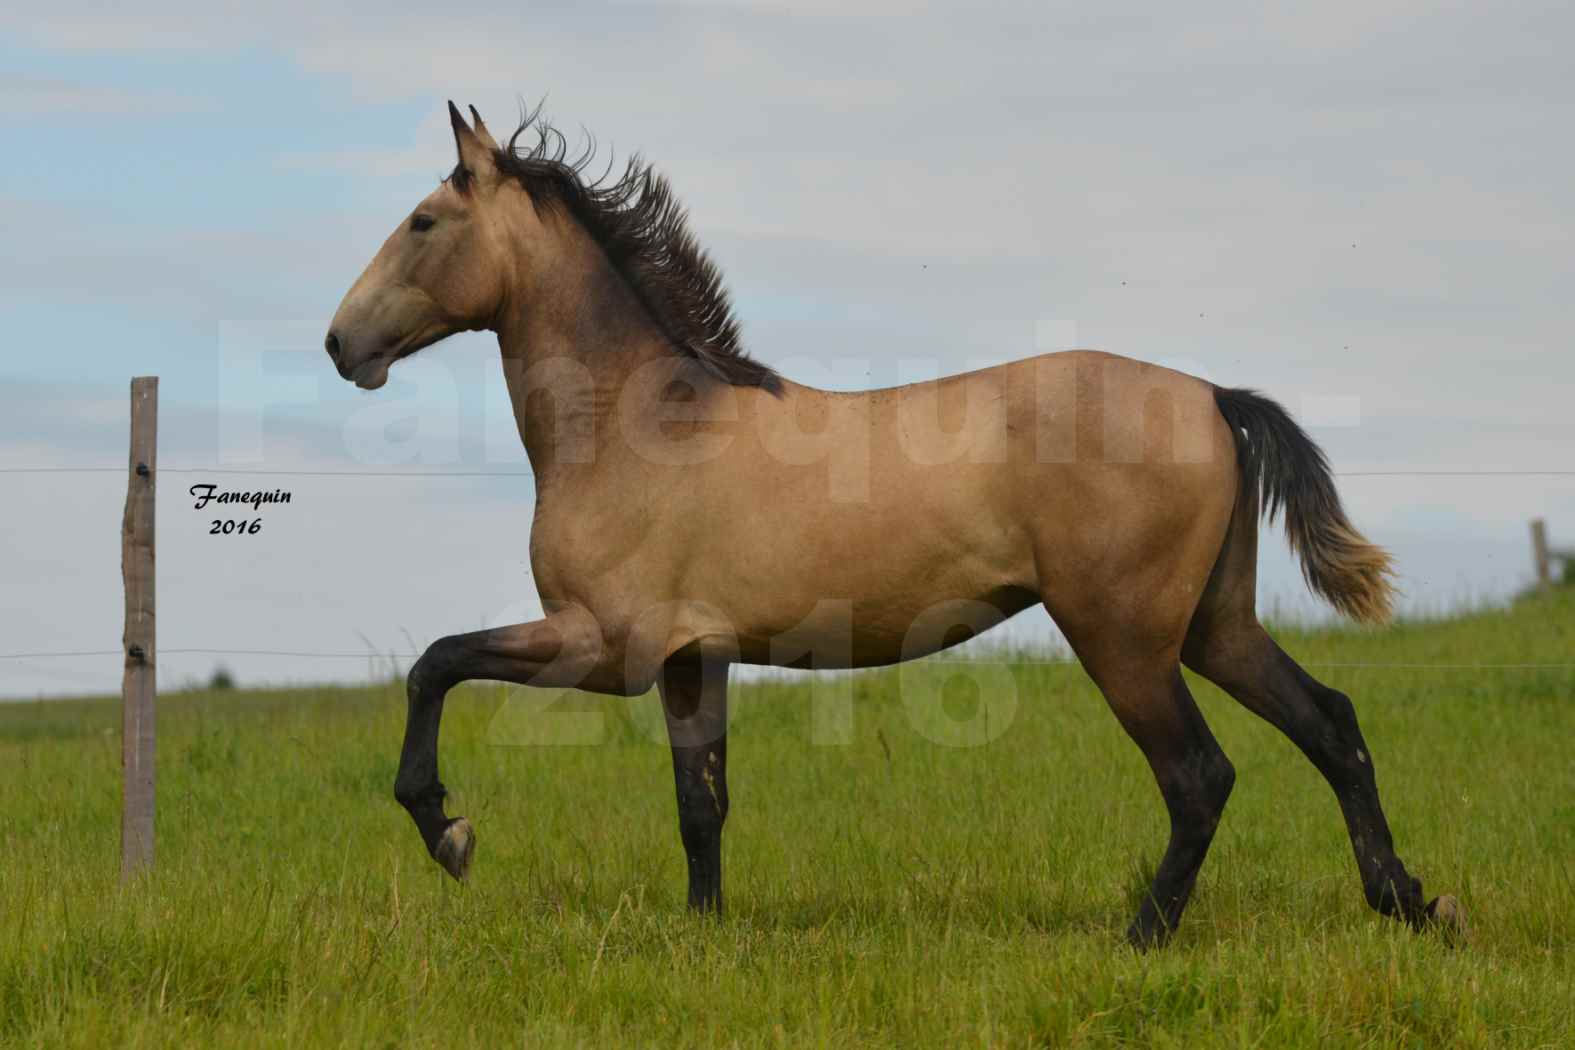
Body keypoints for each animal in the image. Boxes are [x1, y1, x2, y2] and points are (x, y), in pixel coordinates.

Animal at [322, 102, 1461, 950]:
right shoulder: (694, 659)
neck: (636, 424)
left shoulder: (605, 647)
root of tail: (1215, 398)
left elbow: (434, 664)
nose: (340, 344)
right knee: (1331, 726)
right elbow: (701, 801)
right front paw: (704, 929)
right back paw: (1412, 903)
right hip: (1213, 627)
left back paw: (1143, 934)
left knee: (1199, 775)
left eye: (422, 221)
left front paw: (450, 833)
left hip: (1125, 638)